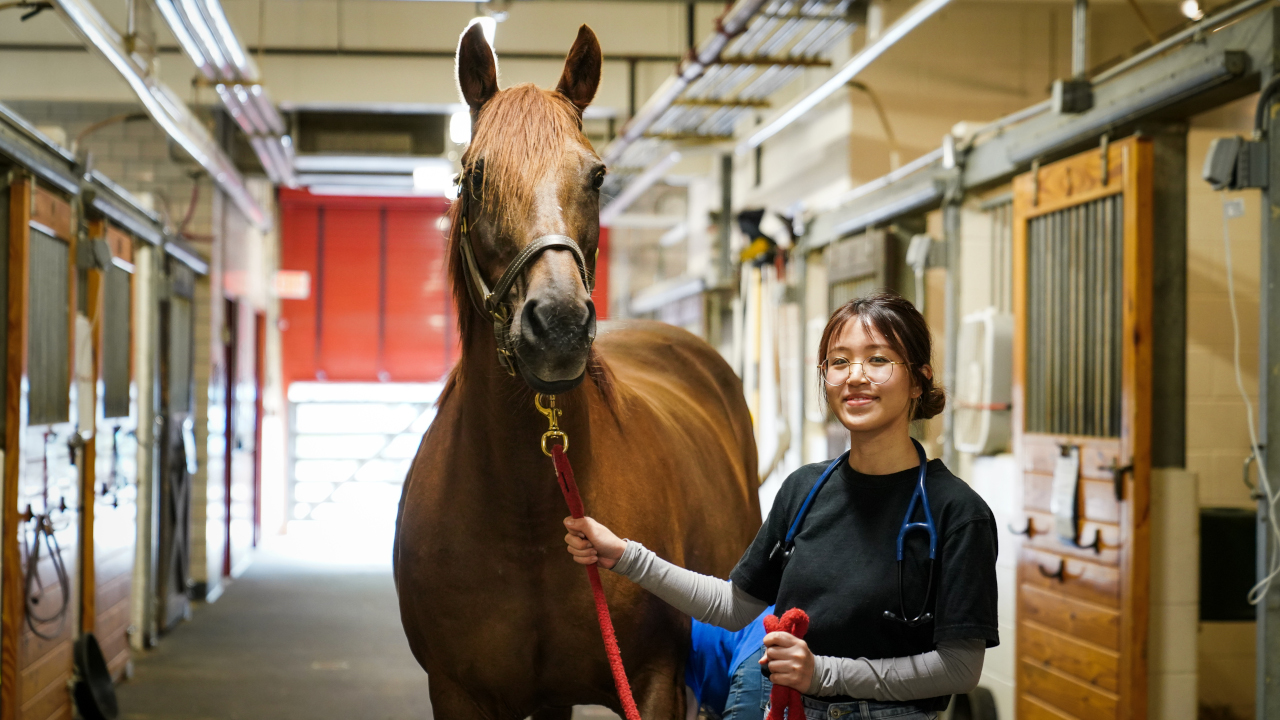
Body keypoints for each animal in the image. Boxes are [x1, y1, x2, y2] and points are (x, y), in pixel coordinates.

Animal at [394, 22, 757, 717]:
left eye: (597, 175)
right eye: (474, 175)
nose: (558, 324)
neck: (526, 513)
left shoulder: (656, 681)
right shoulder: (456, 691)